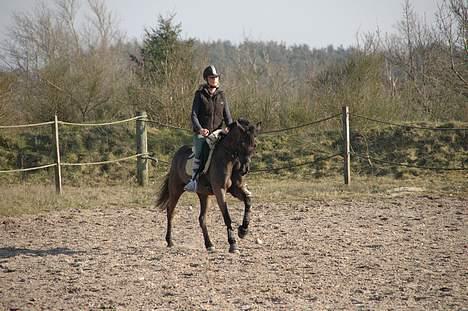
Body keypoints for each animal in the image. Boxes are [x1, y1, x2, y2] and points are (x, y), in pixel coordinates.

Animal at [156, 119, 260, 254]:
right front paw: (233, 244)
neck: (229, 158)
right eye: (242, 143)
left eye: (255, 145)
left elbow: (248, 201)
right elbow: (227, 216)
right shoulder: (219, 190)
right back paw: (170, 241)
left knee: (202, 218)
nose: (244, 170)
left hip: (203, 194)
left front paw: (243, 230)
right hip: (176, 189)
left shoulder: (235, 190)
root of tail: (177, 153)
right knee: (170, 212)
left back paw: (209, 244)